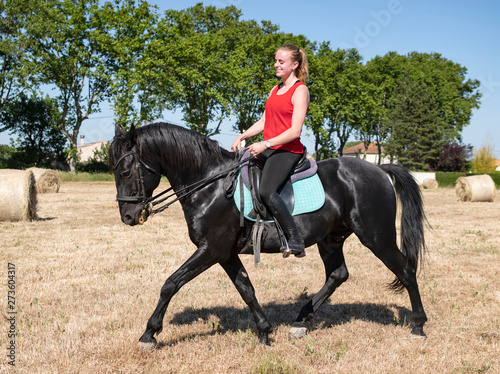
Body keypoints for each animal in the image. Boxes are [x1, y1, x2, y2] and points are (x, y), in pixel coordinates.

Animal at [108, 122, 426, 350]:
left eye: (125, 172)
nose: (128, 217)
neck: (210, 186)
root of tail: (379, 169)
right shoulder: (225, 253)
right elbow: (246, 289)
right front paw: (264, 331)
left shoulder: (211, 249)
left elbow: (171, 283)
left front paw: (149, 334)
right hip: (331, 239)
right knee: (338, 275)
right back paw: (301, 321)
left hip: (377, 237)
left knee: (406, 271)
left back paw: (419, 326)